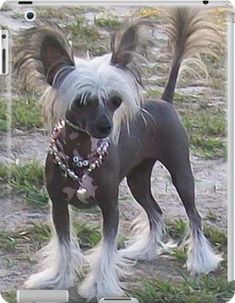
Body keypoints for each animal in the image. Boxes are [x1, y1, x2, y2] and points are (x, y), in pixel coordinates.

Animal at [16, 6, 222, 302]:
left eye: (115, 101)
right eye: (82, 101)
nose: (106, 127)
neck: (81, 156)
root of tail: (165, 101)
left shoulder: (110, 207)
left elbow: (106, 249)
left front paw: (99, 286)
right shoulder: (58, 206)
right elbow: (64, 246)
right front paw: (57, 279)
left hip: (181, 172)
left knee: (194, 215)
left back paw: (201, 261)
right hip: (138, 178)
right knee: (155, 211)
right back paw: (145, 250)